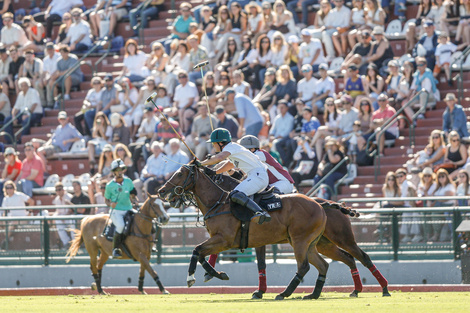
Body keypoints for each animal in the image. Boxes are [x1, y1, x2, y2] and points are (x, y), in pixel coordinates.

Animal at [159, 162, 338, 298]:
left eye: (180, 174)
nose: (161, 191)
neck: (217, 203)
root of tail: (320, 206)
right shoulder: (219, 239)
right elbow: (201, 254)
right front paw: (219, 274)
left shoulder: (225, 240)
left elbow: (196, 250)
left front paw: (190, 277)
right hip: (309, 243)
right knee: (323, 265)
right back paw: (313, 294)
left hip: (299, 240)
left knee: (304, 267)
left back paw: (284, 293)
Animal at [204, 174, 392, 296]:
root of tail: (331, 204)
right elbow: (261, 264)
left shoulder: (245, 237)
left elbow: (260, 263)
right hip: (324, 244)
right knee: (347, 259)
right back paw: (355, 289)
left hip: (341, 238)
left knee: (362, 257)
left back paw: (383, 288)